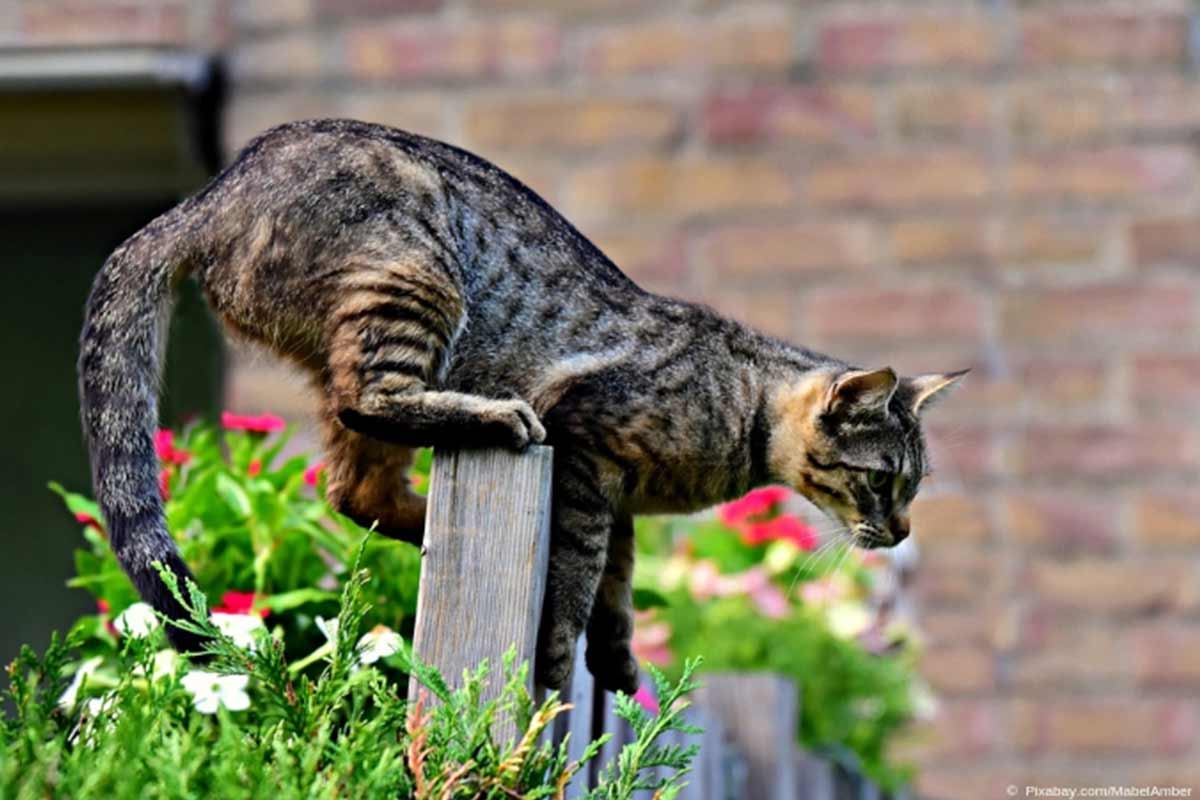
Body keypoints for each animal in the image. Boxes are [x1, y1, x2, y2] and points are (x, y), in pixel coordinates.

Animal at [79, 118, 964, 695]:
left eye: (911, 488)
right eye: (881, 481)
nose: (901, 532)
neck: (740, 409)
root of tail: (206, 197)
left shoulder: (618, 499)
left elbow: (617, 584)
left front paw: (618, 659)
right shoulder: (587, 454)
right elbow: (577, 579)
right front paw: (559, 658)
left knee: (354, 489)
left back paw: (429, 526)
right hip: (412, 278)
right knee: (373, 405)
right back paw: (495, 421)